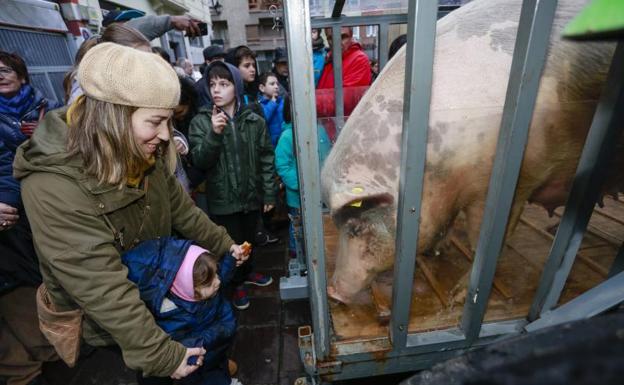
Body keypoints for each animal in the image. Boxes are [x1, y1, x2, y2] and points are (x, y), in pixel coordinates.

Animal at [320, 0, 620, 304]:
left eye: (356, 228)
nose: (332, 291)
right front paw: (435, 251)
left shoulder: (508, 184)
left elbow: (483, 243)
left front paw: (457, 297)